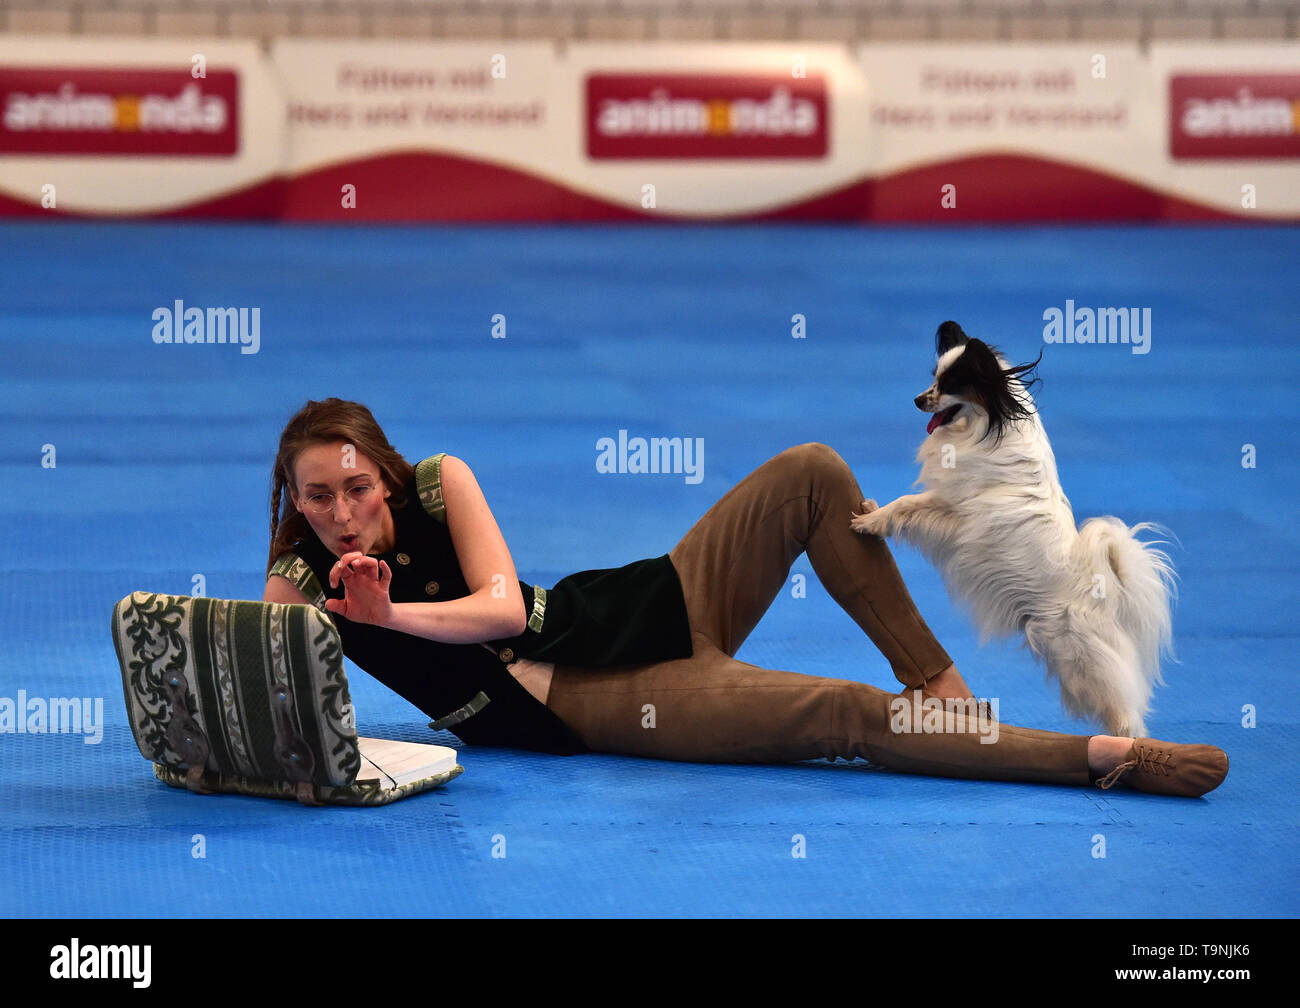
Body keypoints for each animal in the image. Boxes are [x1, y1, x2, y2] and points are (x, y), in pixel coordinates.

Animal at [852, 323, 1180, 738]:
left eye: (950, 386)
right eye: (934, 379)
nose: (917, 400)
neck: (990, 426)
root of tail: (1105, 591)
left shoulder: (954, 515)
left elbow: (906, 504)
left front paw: (869, 521)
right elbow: (906, 503)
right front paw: (871, 510)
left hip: (1082, 659)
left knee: (1127, 714)